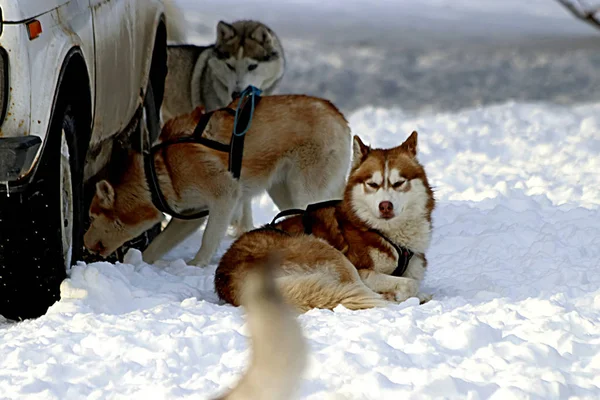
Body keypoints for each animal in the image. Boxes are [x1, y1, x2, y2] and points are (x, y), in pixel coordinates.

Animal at [82, 95, 350, 268]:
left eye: (92, 218)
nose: (83, 243)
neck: (157, 174)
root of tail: (338, 115)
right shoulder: (190, 214)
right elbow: (158, 244)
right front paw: (141, 265)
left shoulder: (225, 195)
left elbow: (209, 237)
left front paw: (197, 264)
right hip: (282, 190)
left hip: (303, 189)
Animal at [216, 133, 436, 310]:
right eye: (372, 184)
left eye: (399, 183)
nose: (385, 206)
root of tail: (231, 278)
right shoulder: (363, 270)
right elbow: (409, 283)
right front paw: (402, 294)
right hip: (330, 254)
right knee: (359, 290)